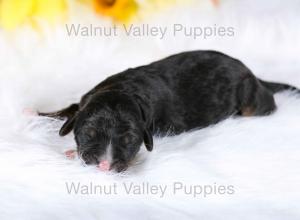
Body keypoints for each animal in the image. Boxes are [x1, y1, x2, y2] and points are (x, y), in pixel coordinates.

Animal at [39, 50, 298, 172]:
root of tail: (251, 72)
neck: (123, 88)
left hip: (251, 98)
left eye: (129, 139)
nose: (104, 165)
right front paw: (39, 115)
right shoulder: (86, 99)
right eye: (89, 133)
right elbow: (70, 109)